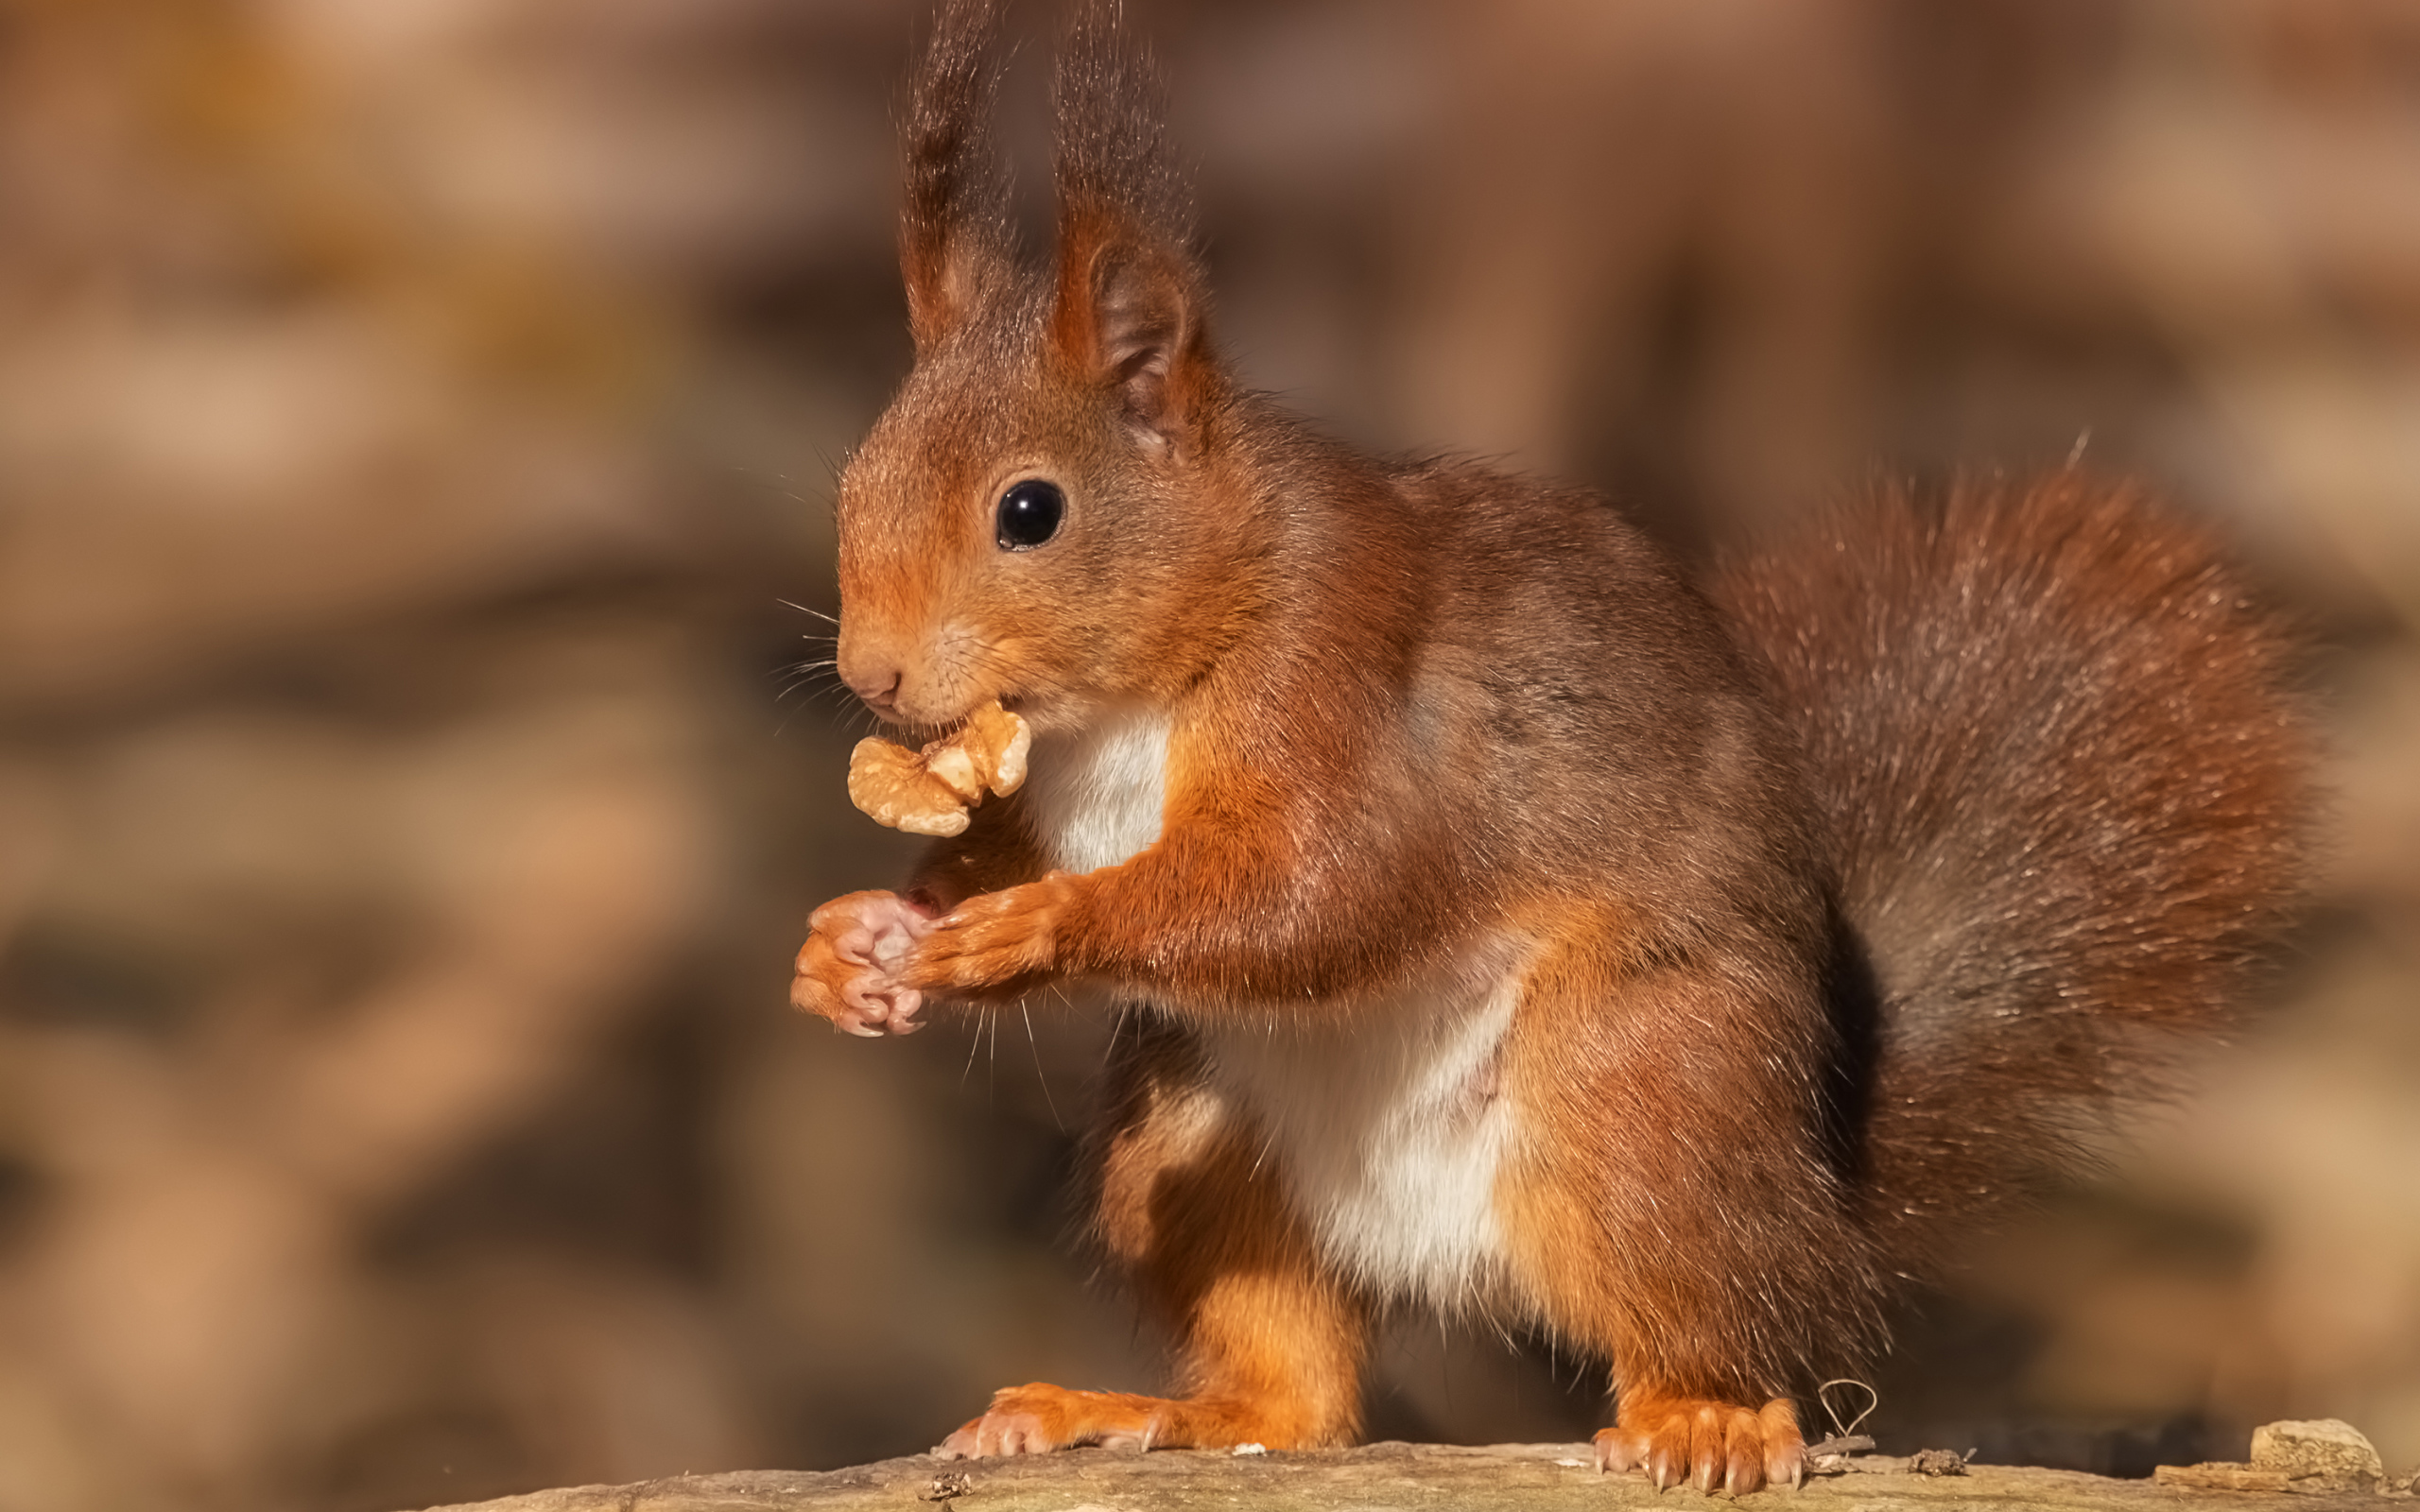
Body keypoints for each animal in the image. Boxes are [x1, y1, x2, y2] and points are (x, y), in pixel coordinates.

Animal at [784, 0, 2313, 1489]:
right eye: (855, 477)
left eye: (1029, 511)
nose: (873, 676)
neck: (1134, 697)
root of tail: (1819, 1199)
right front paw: (856, 943)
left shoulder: (1337, 684)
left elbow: (1324, 889)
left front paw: (1033, 929)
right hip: (1195, 1138)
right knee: (1299, 1390)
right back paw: (1132, 1408)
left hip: (1634, 1098)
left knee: (1712, 1320)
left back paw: (1704, 1418)